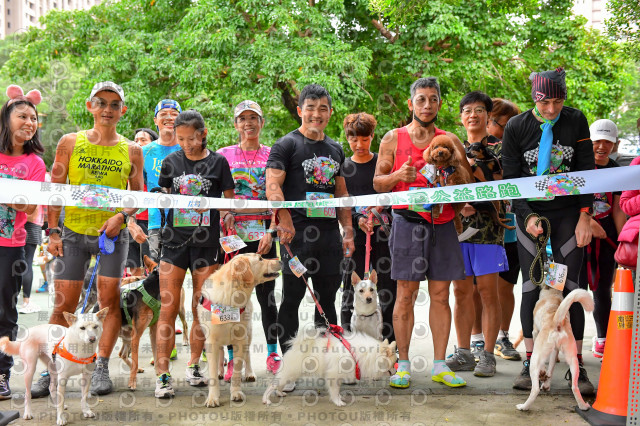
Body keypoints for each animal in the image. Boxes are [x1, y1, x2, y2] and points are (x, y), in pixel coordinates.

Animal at [199, 253, 282, 406]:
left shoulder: (240, 339)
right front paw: (213, 397)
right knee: (221, 354)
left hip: (248, 334)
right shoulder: (211, 341)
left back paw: (249, 373)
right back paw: (221, 371)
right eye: (260, 259)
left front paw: (236, 393)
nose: (280, 261)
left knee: (247, 355)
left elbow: (237, 370)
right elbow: (212, 372)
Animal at [264, 328, 396, 408]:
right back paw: (266, 399)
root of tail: (297, 345)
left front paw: (339, 398)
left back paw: (280, 393)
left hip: (291, 374)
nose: (395, 371)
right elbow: (334, 390)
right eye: (395, 362)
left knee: (278, 384)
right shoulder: (333, 375)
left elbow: (337, 390)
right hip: (290, 372)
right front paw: (338, 401)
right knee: (272, 385)